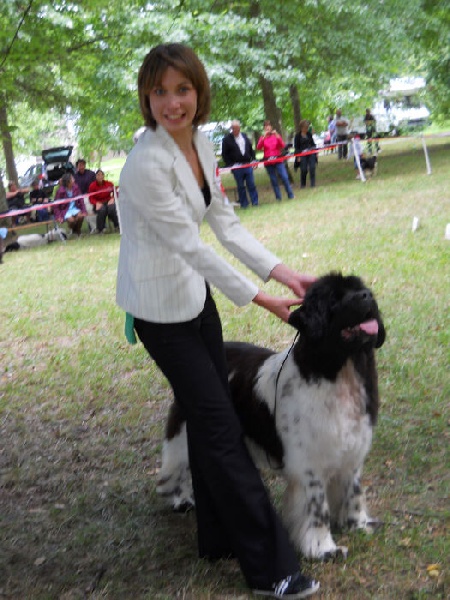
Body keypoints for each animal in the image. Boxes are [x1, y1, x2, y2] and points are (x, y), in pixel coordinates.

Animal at [156, 274, 384, 560]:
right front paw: (323, 548)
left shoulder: (352, 450)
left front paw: (358, 524)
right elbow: (317, 507)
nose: (367, 295)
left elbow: (353, 490)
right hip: (188, 425)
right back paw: (181, 498)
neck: (339, 371)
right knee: (177, 462)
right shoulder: (309, 463)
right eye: (334, 298)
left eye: (360, 289)